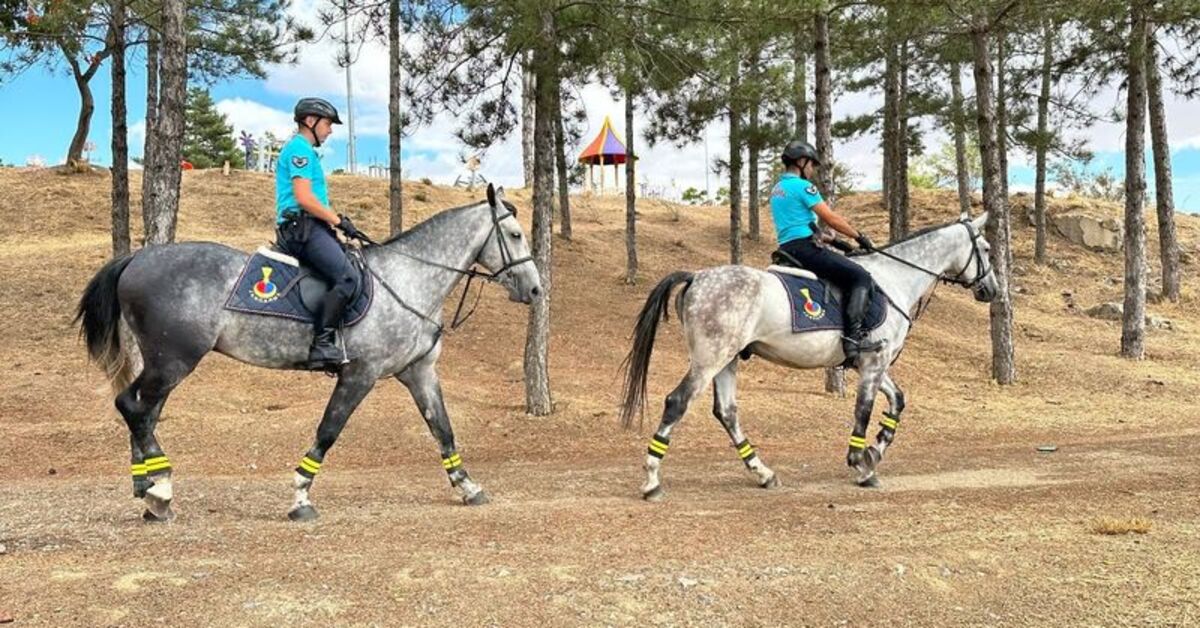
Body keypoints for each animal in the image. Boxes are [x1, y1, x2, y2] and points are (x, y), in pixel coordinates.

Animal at [77, 186, 542, 521]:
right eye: (515, 235)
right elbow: (328, 431)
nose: (536, 290)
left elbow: (442, 429)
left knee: (143, 412)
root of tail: (137, 258)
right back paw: (160, 490)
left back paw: (150, 489)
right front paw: (300, 497)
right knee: (132, 407)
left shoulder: (419, 372)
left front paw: (468, 486)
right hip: (172, 359)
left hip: (166, 363)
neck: (408, 279)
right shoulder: (360, 374)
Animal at [624, 213, 998, 499]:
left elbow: (897, 402)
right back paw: (652, 480)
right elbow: (863, 410)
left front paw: (875, 451)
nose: (991, 290)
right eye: (986, 248)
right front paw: (861, 464)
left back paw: (763, 473)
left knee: (727, 413)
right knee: (677, 402)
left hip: (727, 361)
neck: (894, 279)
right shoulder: (873, 363)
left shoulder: (871, 363)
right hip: (710, 359)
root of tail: (696, 276)